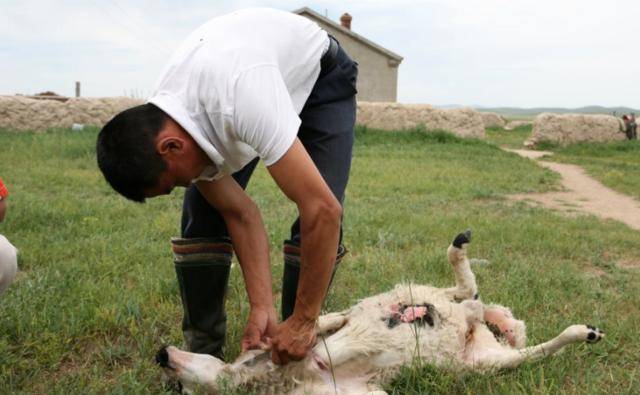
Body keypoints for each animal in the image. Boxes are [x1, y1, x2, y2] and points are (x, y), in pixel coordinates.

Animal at [156, 230, 604, 394]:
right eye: (182, 391)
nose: (162, 356)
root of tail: (474, 324)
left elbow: (326, 327)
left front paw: (325, 329)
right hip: (484, 363)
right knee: (488, 314)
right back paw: (583, 332)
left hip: (415, 291)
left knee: (463, 291)